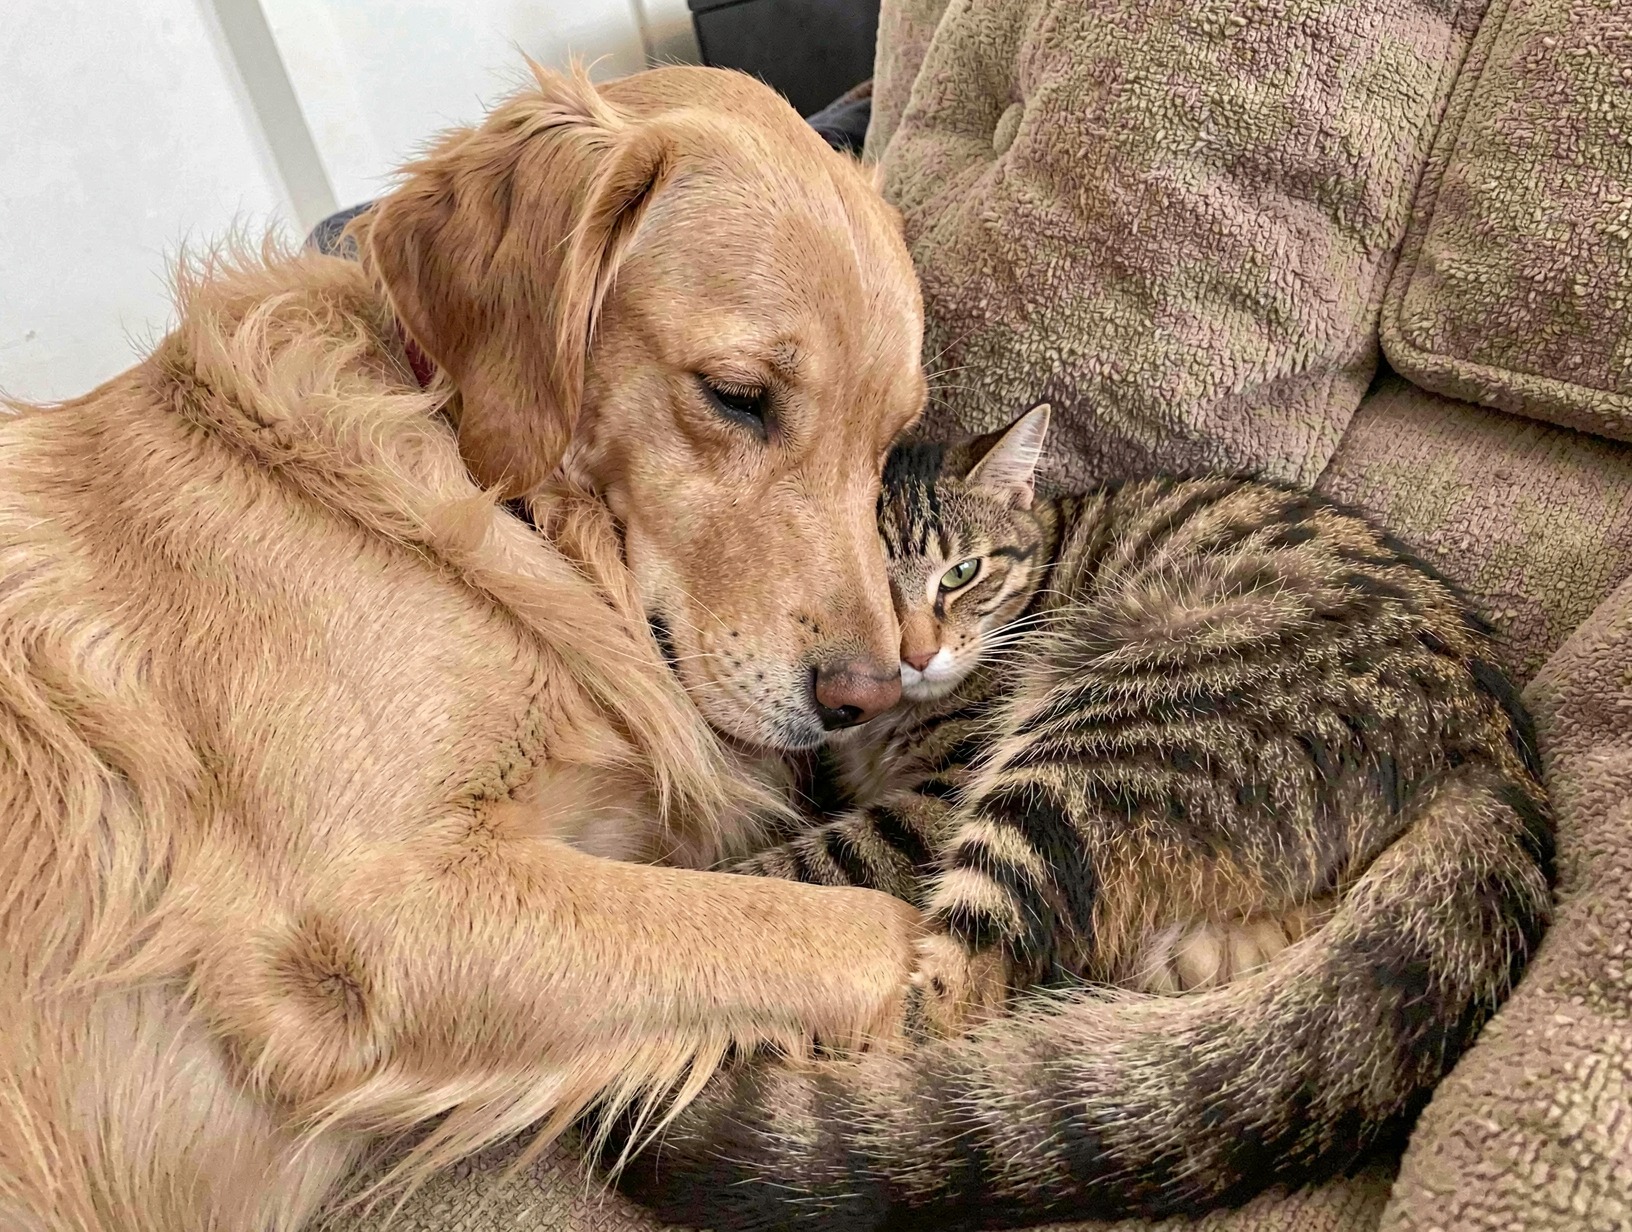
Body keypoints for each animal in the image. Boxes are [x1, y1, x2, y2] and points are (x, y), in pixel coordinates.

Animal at [0, 64, 928, 1229]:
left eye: (891, 443)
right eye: (737, 395)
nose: (872, 695)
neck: (497, 501)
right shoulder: (372, 914)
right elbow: (856, 926)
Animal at [616, 404, 1555, 1230]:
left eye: (962, 574)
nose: (914, 656)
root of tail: (1494, 762)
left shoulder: (931, 804)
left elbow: (798, 865)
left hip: (1090, 747)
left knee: (953, 997)